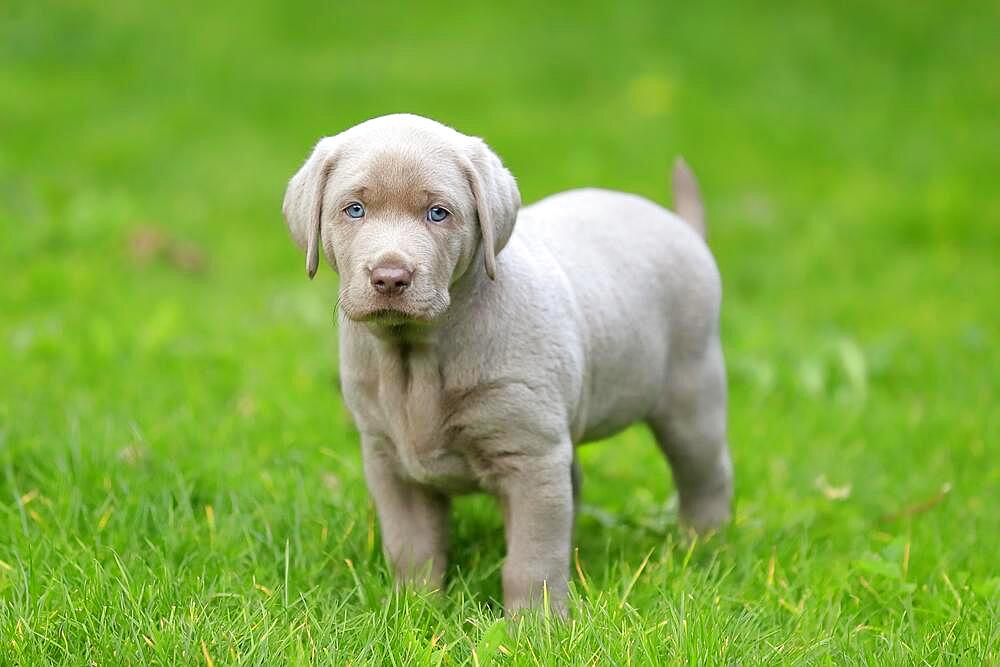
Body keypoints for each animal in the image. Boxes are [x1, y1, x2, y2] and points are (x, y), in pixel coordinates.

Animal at [282, 113, 736, 616]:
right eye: (355, 210)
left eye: (438, 213)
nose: (390, 277)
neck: (417, 353)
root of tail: (682, 226)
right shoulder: (390, 462)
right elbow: (412, 549)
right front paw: (413, 613)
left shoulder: (531, 460)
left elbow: (531, 559)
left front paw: (535, 626)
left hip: (691, 390)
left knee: (706, 473)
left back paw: (705, 550)